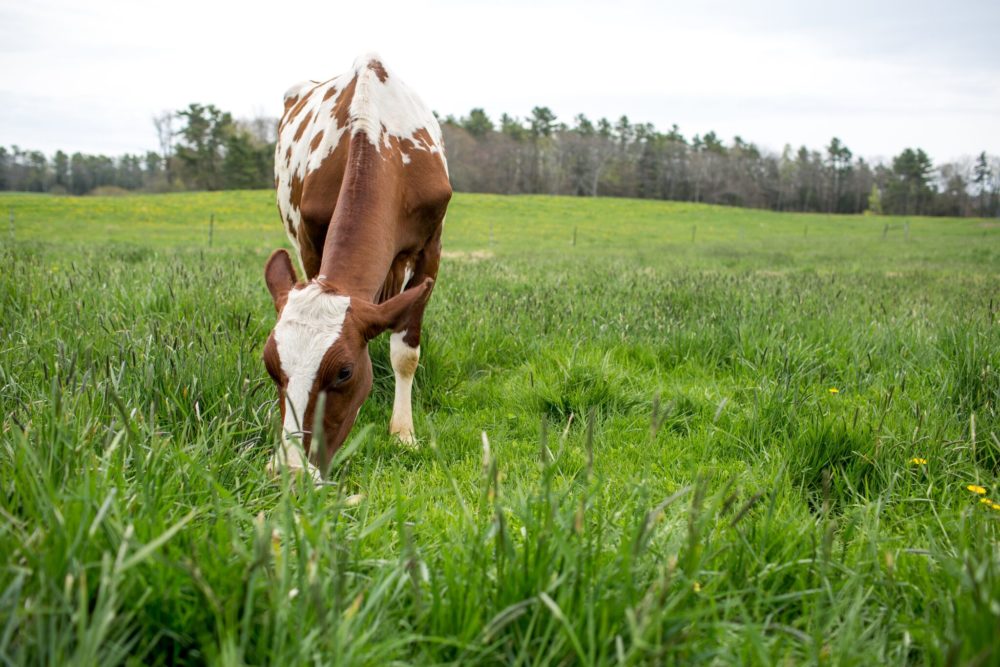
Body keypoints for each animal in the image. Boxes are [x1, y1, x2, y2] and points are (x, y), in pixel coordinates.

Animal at [263, 54, 451, 480]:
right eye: (270, 366)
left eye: (344, 373)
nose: (292, 471)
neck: (378, 141)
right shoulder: (309, 241)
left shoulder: (430, 248)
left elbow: (406, 353)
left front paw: (403, 432)